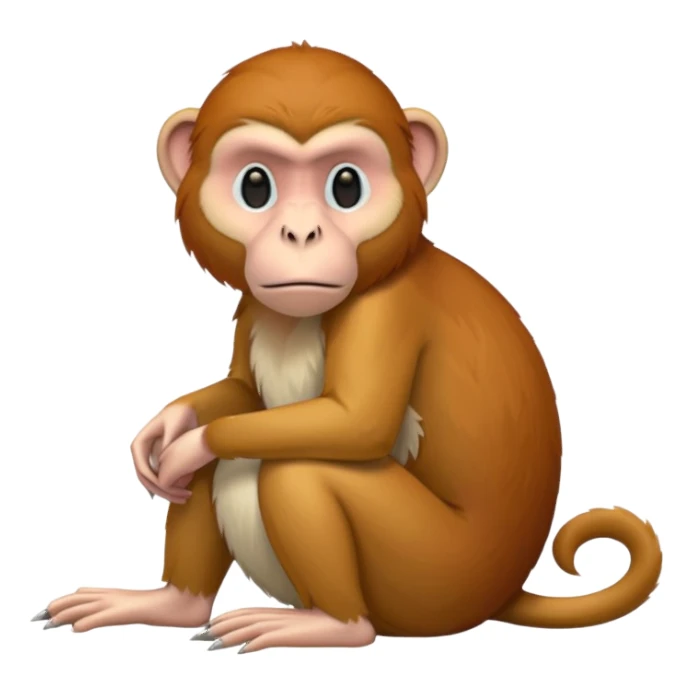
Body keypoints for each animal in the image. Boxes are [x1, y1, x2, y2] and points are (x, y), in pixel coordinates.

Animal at [37, 43, 662, 653]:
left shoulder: (388, 309)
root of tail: (505, 589)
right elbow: (238, 394)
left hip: (434, 573)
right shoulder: (256, 303)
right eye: (256, 186)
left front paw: (188, 441)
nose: (300, 234)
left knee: (298, 470)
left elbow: (355, 424)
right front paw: (167, 425)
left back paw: (332, 625)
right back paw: (171, 604)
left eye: (346, 186)